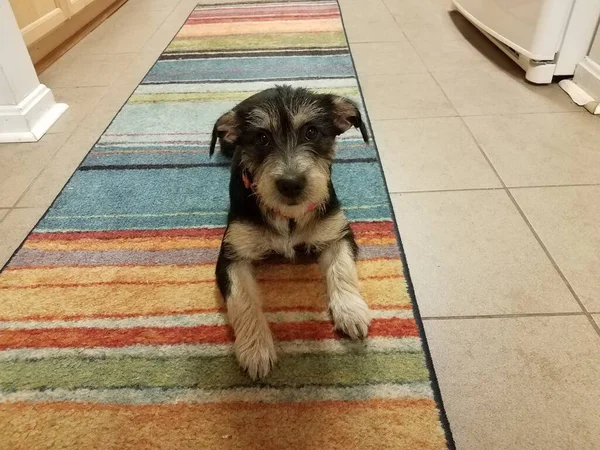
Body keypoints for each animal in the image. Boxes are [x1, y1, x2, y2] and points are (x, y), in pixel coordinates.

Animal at [210, 85, 370, 380]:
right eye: (261, 138)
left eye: (312, 132)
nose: (291, 184)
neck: (289, 217)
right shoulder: (231, 255)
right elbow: (242, 298)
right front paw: (256, 350)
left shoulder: (338, 233)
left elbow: (342, 269)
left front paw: (351, 311)